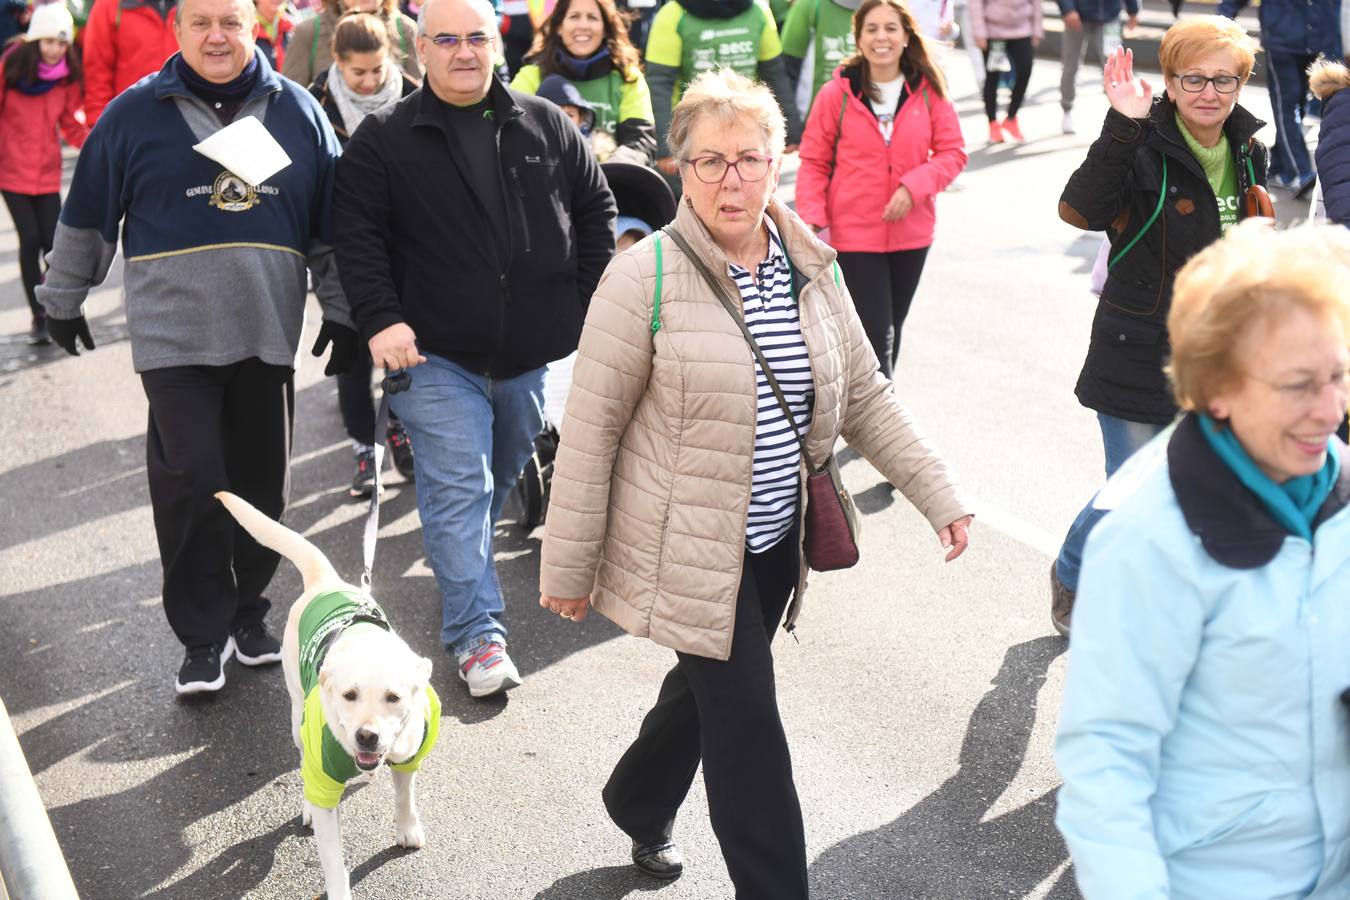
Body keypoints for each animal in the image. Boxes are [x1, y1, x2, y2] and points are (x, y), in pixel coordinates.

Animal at [214, 493, 437, 900]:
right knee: (302, 760)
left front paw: (407, 828)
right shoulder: (324, 781)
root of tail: (326, 581)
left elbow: (404, 796)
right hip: (297, 715)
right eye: (349, 695)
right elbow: (333, 859)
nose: (367, 736)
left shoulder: (409, 755)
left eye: (393, 697)